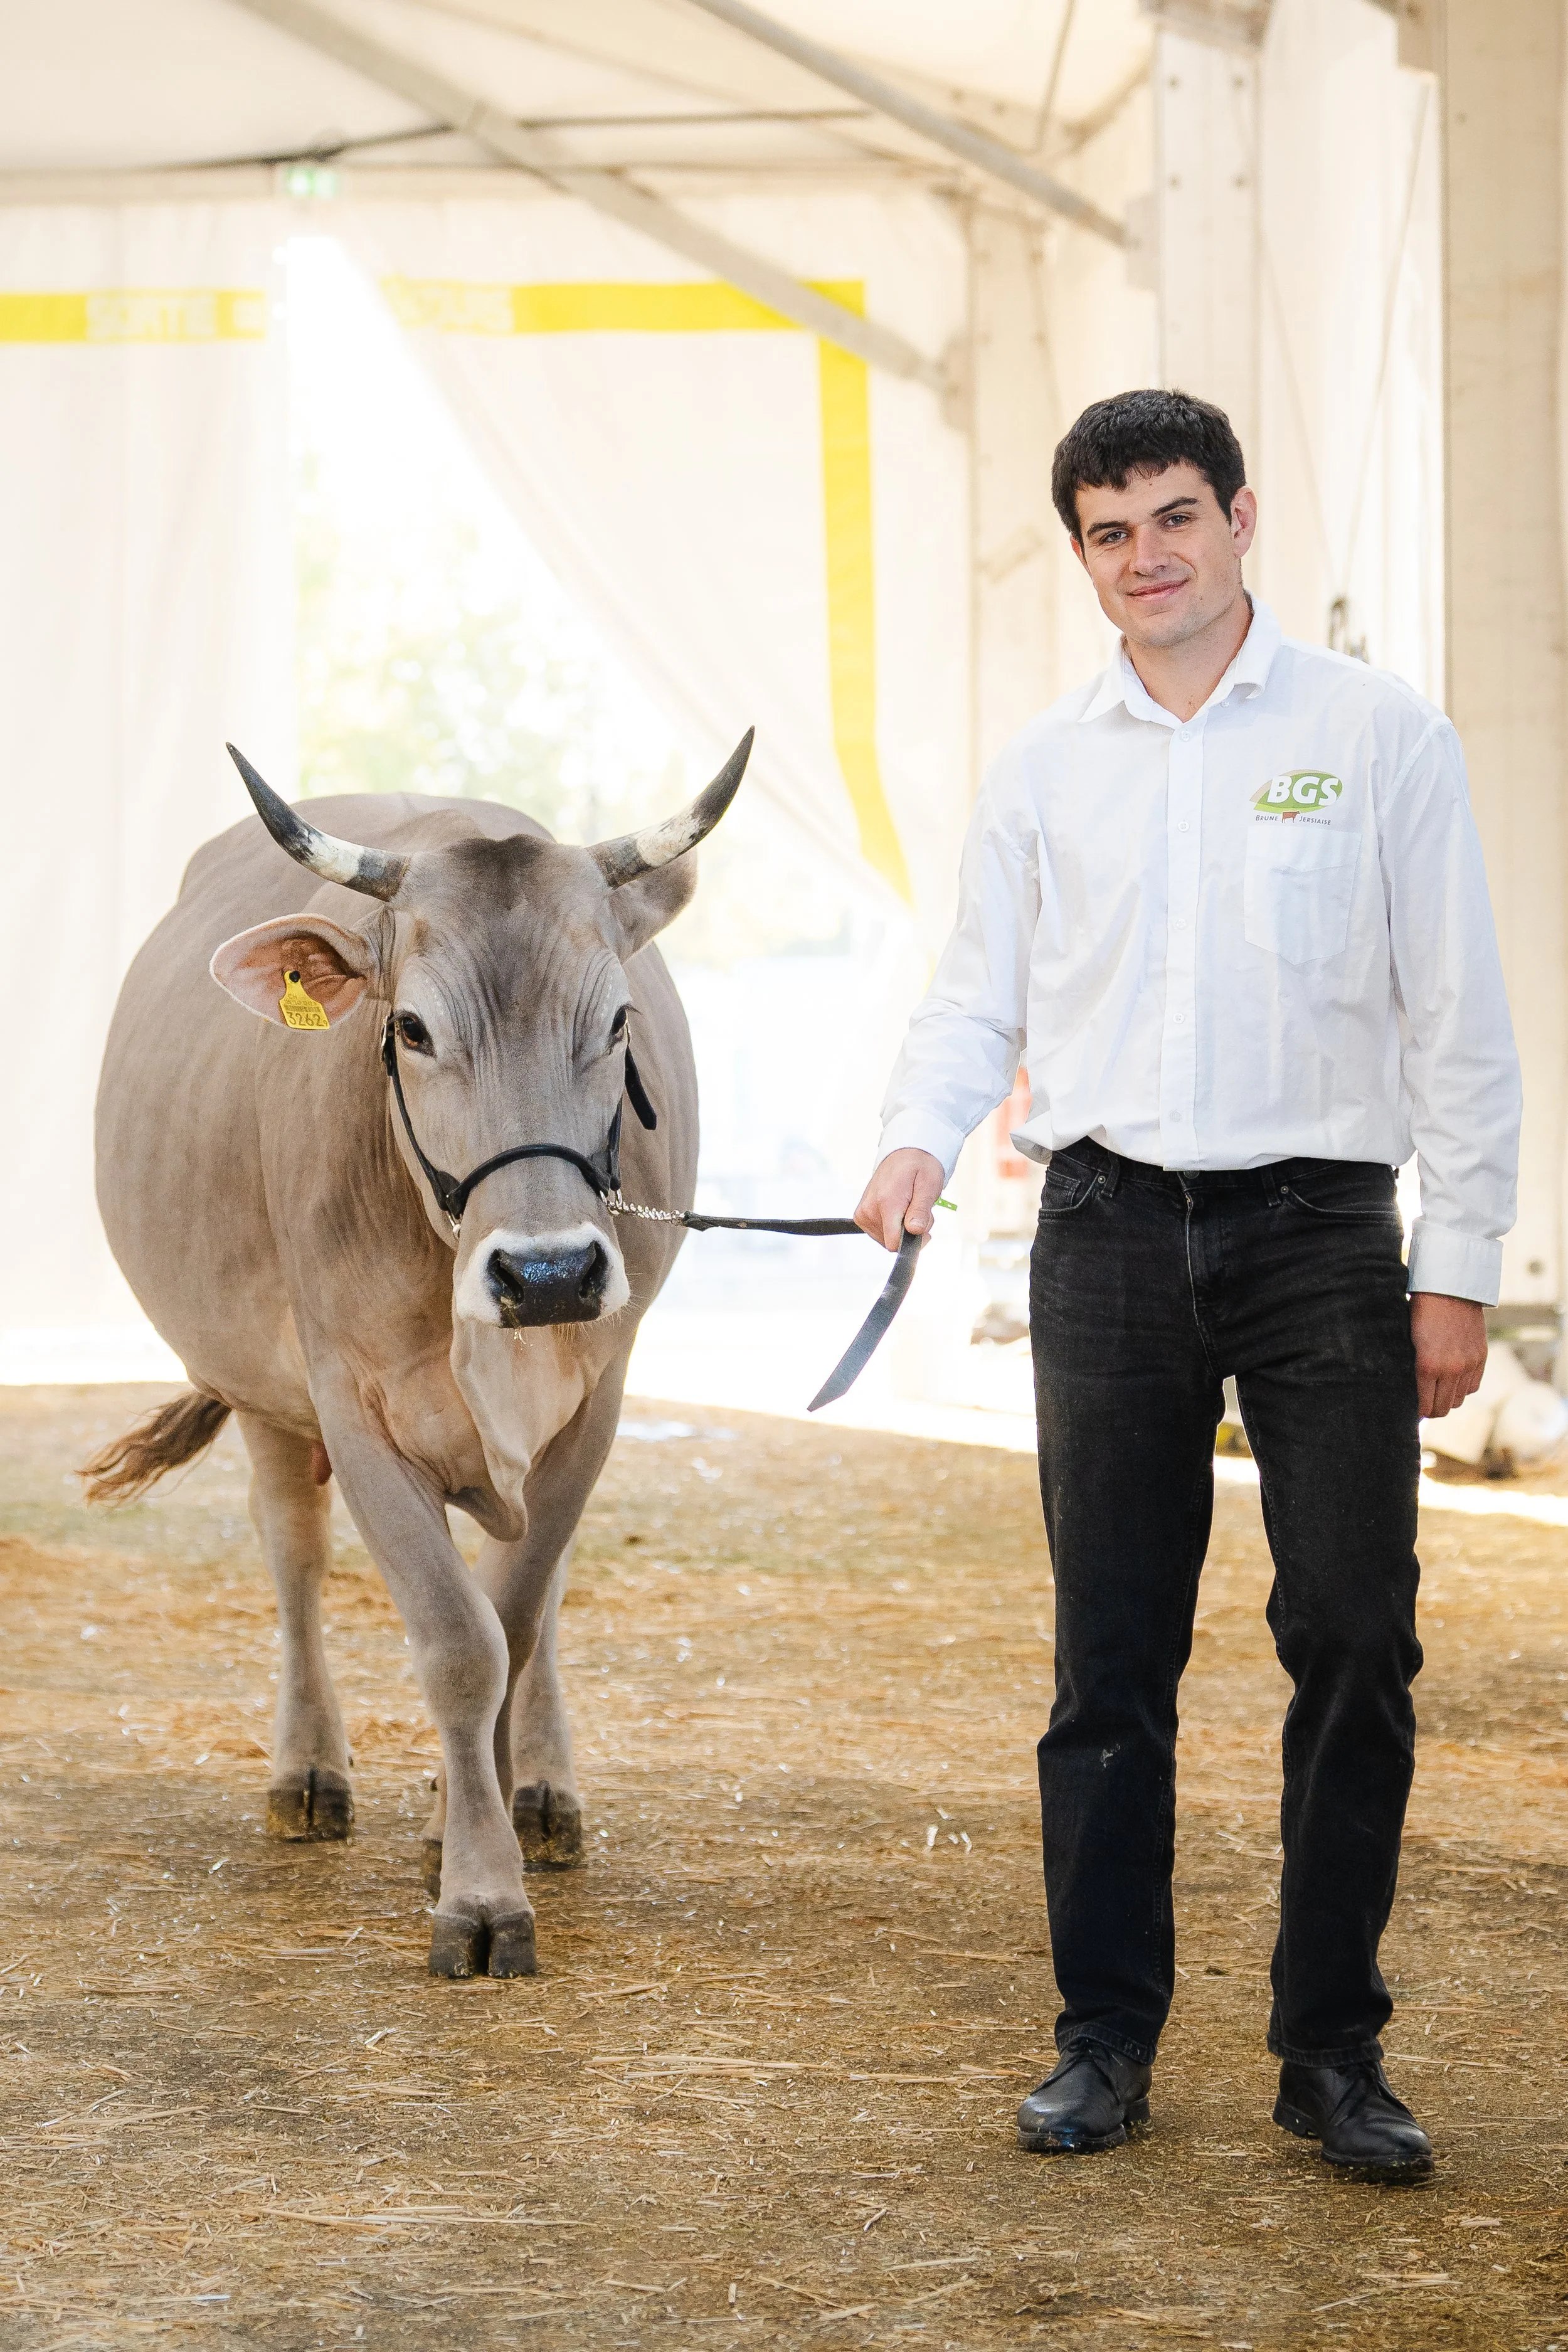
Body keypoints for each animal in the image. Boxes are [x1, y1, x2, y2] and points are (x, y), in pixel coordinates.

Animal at [84, 736, 751, 1978]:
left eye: (619, 1021)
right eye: (411, 1030)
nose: (549, 1273)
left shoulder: (598, 1399)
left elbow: (518, 1617)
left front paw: (473, 1824)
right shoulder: (351, 1404)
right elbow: (456, 1642)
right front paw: (478, 1894)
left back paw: (536, 1791)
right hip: (266, 1395)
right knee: (295, 1557)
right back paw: (309, 1771)